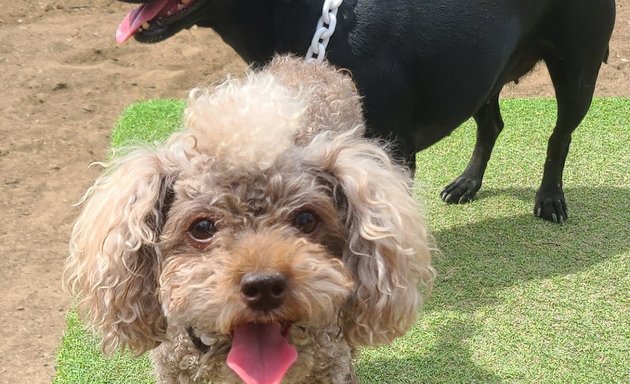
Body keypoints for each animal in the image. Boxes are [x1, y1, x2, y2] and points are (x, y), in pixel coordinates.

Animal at [115, 0, 616, 224]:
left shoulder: (390, 151)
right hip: (481, 75)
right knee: (492, 124)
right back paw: (467, 183)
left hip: (578, 69)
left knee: (559, 136)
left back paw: (550, 198)